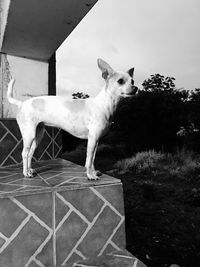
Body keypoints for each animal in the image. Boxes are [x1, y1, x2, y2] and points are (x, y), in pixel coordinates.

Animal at [6, 58, 138, 180]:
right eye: (120, 81)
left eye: (132, 81)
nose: (136, 87)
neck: (103, 104)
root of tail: (22, 103)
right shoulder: (92, 139)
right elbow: (89, 160)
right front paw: (90, 175)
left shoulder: (96, 141)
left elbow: (92, 159)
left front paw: (93, 172)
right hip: (29, 135)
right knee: (24, 153)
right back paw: (25, 173)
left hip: (38, 135)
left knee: (30, 153)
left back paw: (30, 170)